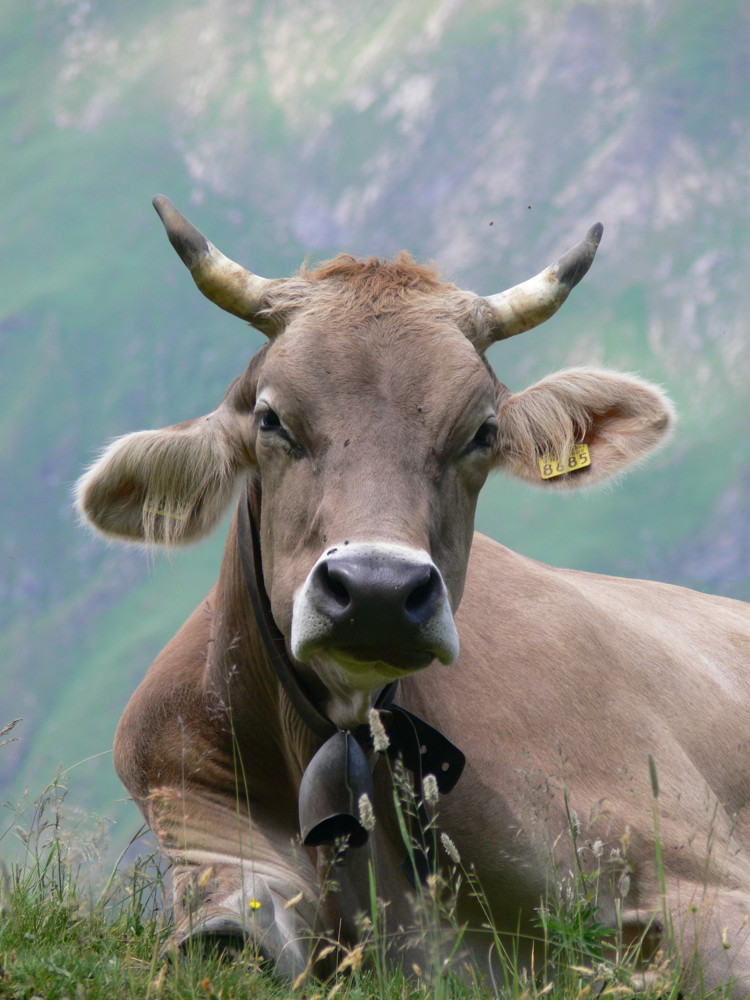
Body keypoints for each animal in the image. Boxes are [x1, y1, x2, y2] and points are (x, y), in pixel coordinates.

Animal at [75, 199, 750, 996]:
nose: (377, 590)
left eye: (482, 432)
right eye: (271, 419)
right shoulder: (203, 834)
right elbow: (223, 938)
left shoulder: (692, 867)